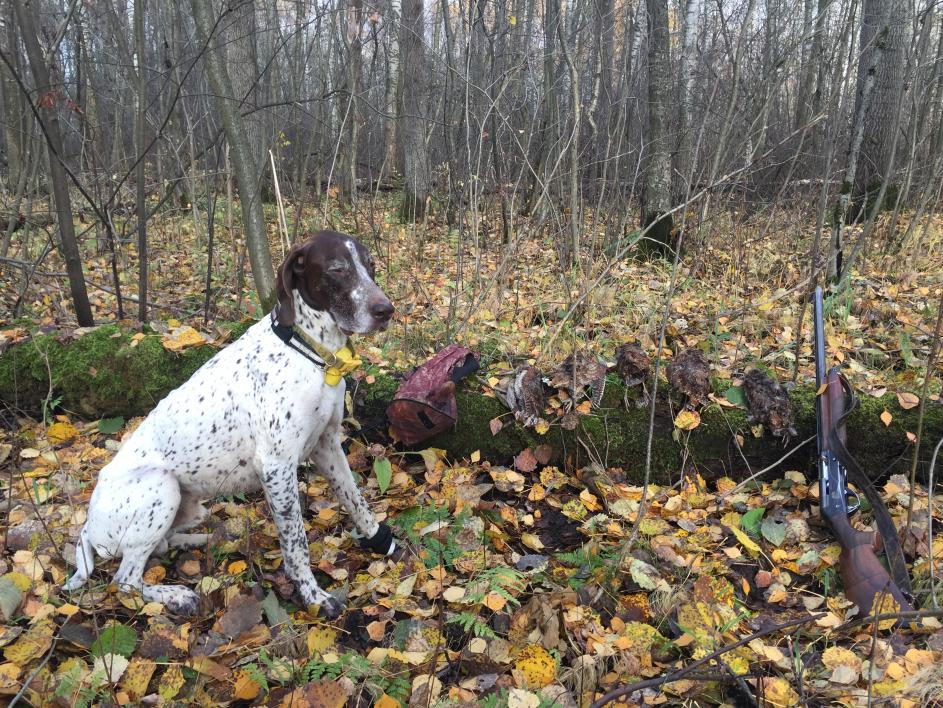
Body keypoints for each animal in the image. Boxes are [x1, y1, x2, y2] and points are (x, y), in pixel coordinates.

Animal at [63, 231, 399, 618]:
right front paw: (312, 595)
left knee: (159, 547)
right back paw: (176, 595)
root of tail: (88, 526)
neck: (308, 352)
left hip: (188, 505)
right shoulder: (277, 468)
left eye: (370, 265)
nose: (386, 310)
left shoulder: (327, 445)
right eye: (337, 269)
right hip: (161, 487)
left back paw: (204, 538)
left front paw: (381, 541)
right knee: (126, 580)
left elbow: (356, 501)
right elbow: (296, 543)